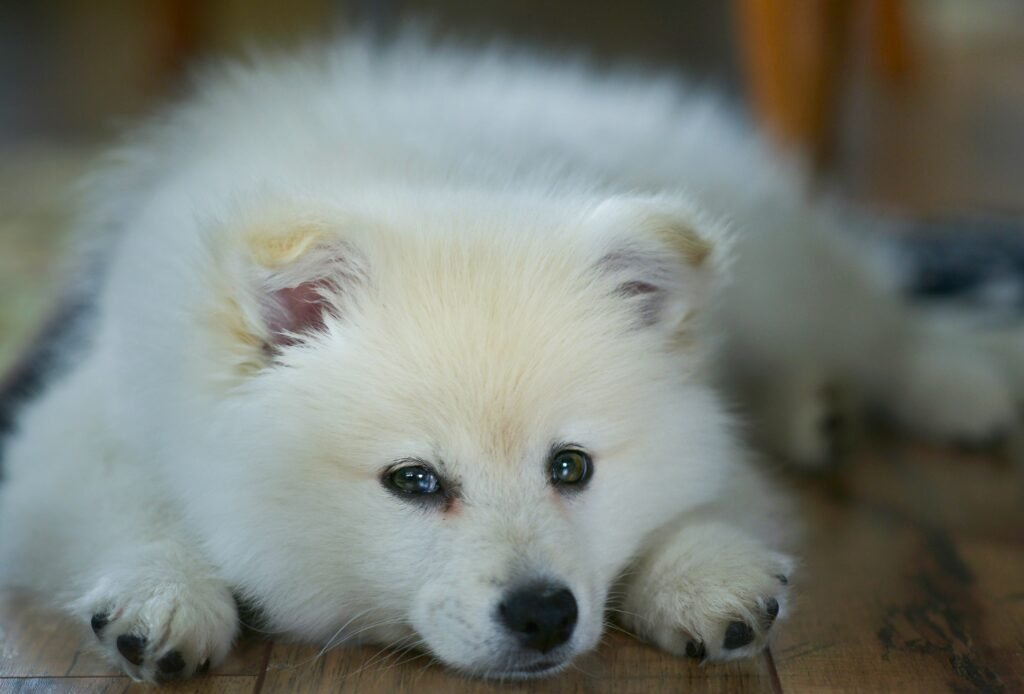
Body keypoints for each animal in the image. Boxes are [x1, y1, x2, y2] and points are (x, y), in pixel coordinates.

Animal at [0, 34, 1011, 683]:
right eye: (414, 481)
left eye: (572, 467)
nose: (544, 612)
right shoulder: (73, 438)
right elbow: (130, 509)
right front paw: (162, 600)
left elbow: (713, 490)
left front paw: (702, 573)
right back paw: (817, 410)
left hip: (779, 278)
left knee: (878, 318)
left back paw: (964, 386)